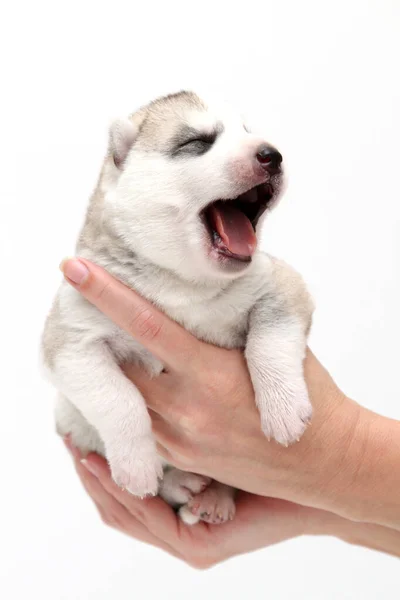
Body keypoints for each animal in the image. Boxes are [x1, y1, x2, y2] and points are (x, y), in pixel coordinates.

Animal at [43, 90, 312, 524]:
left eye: (247, 131)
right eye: (197, 142)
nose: (272, 154)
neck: (183, 285)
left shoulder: (281, 287)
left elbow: (269, 341)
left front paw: (284, 407)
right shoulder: (72, 337)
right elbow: (118, 399)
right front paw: (137, 464)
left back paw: (215, 498)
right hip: (72, 420)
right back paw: (179, 483)